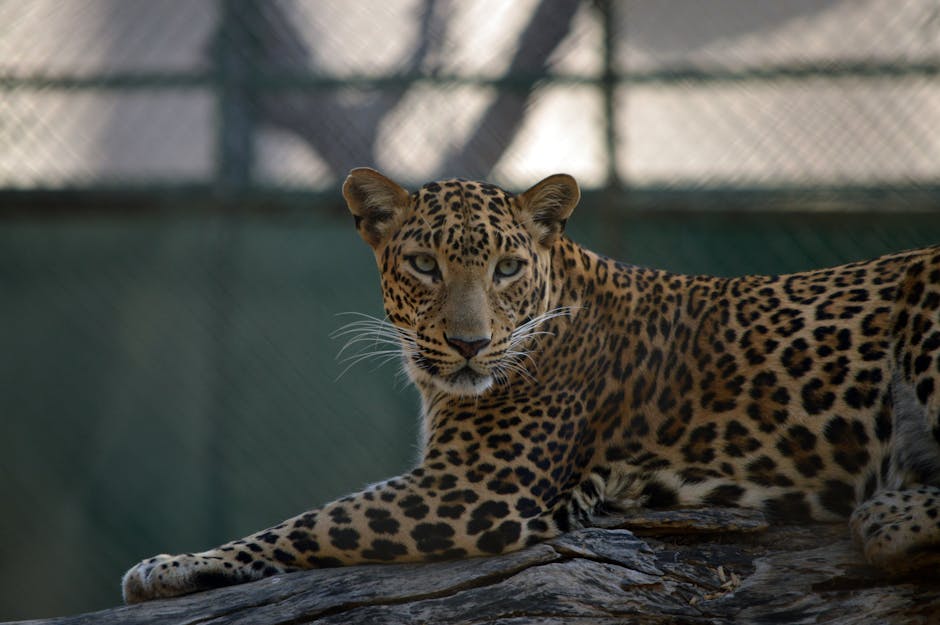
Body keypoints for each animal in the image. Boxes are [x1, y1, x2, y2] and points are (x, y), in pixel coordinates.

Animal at [122, 168, 940, 603]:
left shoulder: (475, 488)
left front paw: (171, 566)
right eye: (424, 265)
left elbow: (312, 522)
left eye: (507, 268)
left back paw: (889, 515)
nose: (469, 343)